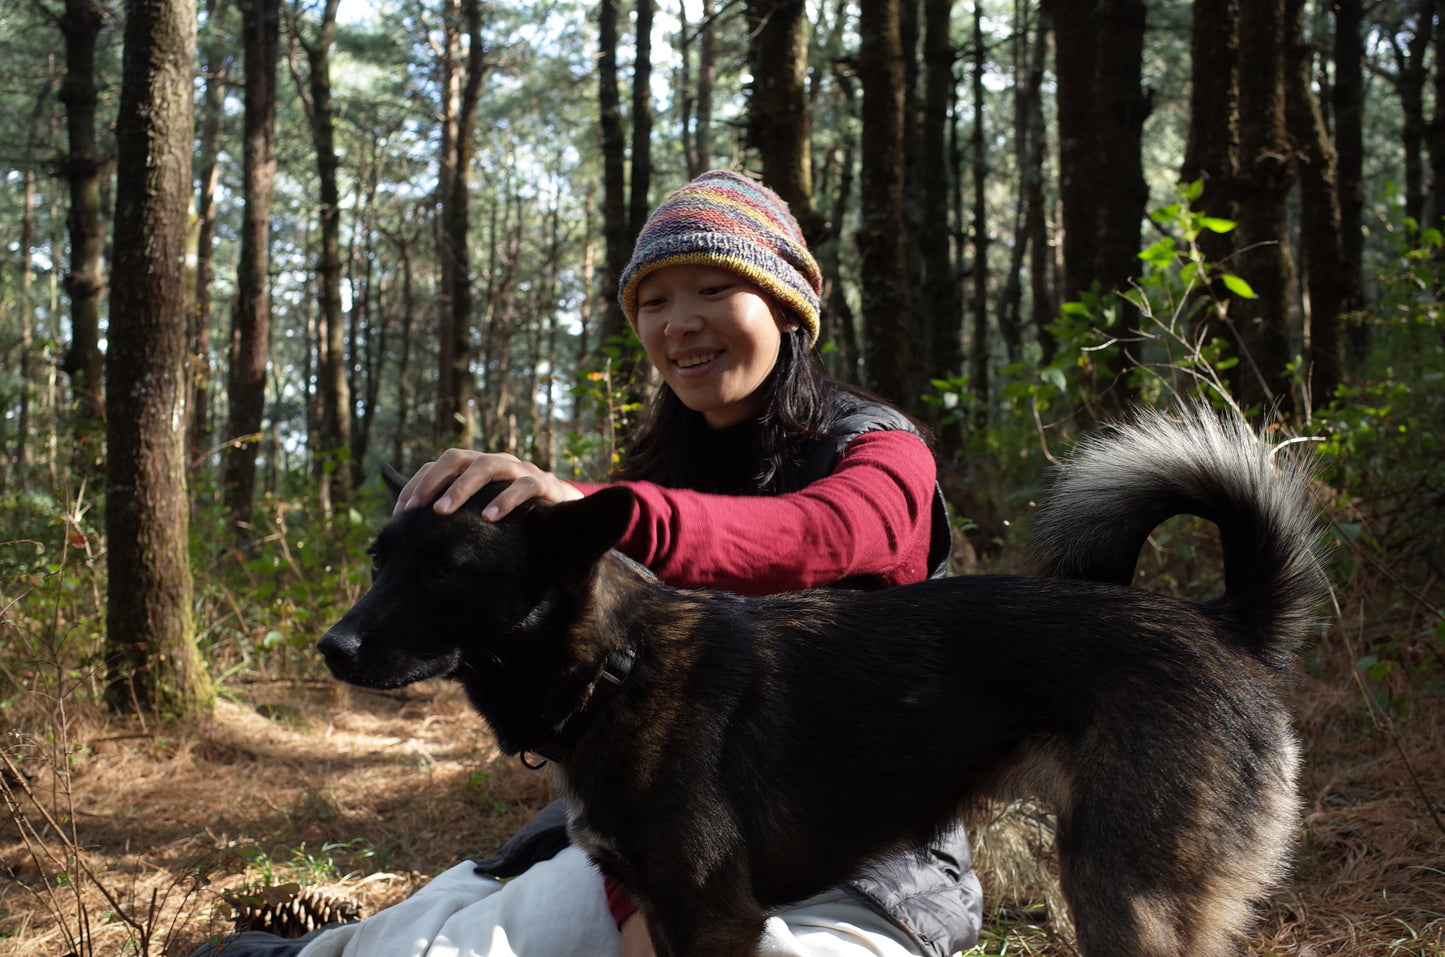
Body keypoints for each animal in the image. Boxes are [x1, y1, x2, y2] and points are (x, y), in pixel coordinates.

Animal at [322, 407, 1323, 957]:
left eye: (448, 570)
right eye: (379, 558)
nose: (333, 648)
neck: (615, 668)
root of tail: (1224, 621)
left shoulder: (712, 918)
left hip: (1121, 897)